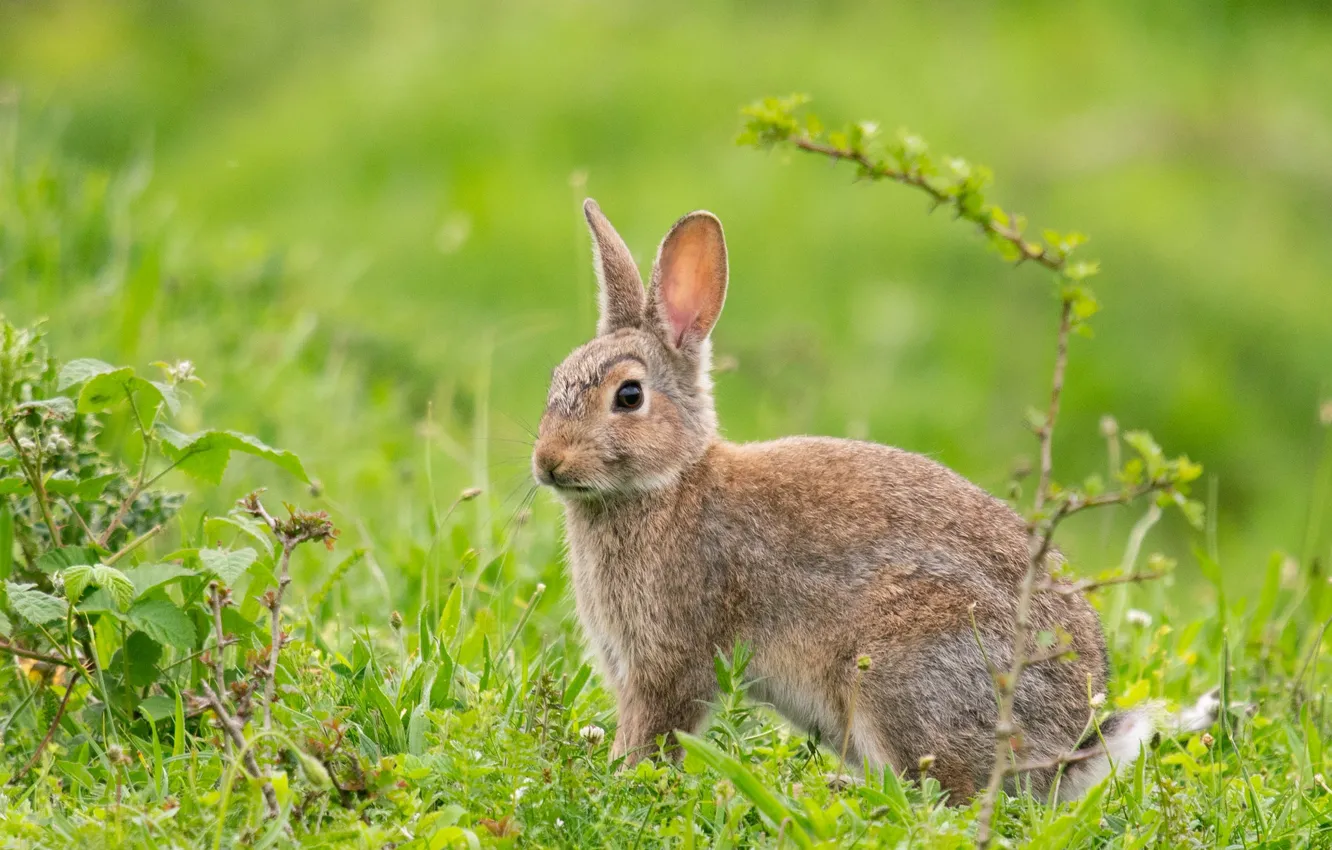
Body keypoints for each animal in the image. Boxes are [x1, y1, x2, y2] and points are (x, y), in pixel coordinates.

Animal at [532, 199, 1214, 802]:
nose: (547, 463)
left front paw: (623, 778)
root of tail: (1070, 749)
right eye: (556, 381)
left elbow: (656, 734)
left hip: (904, 675)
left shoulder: (672, 660)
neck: (670, 482)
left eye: (628, 397)